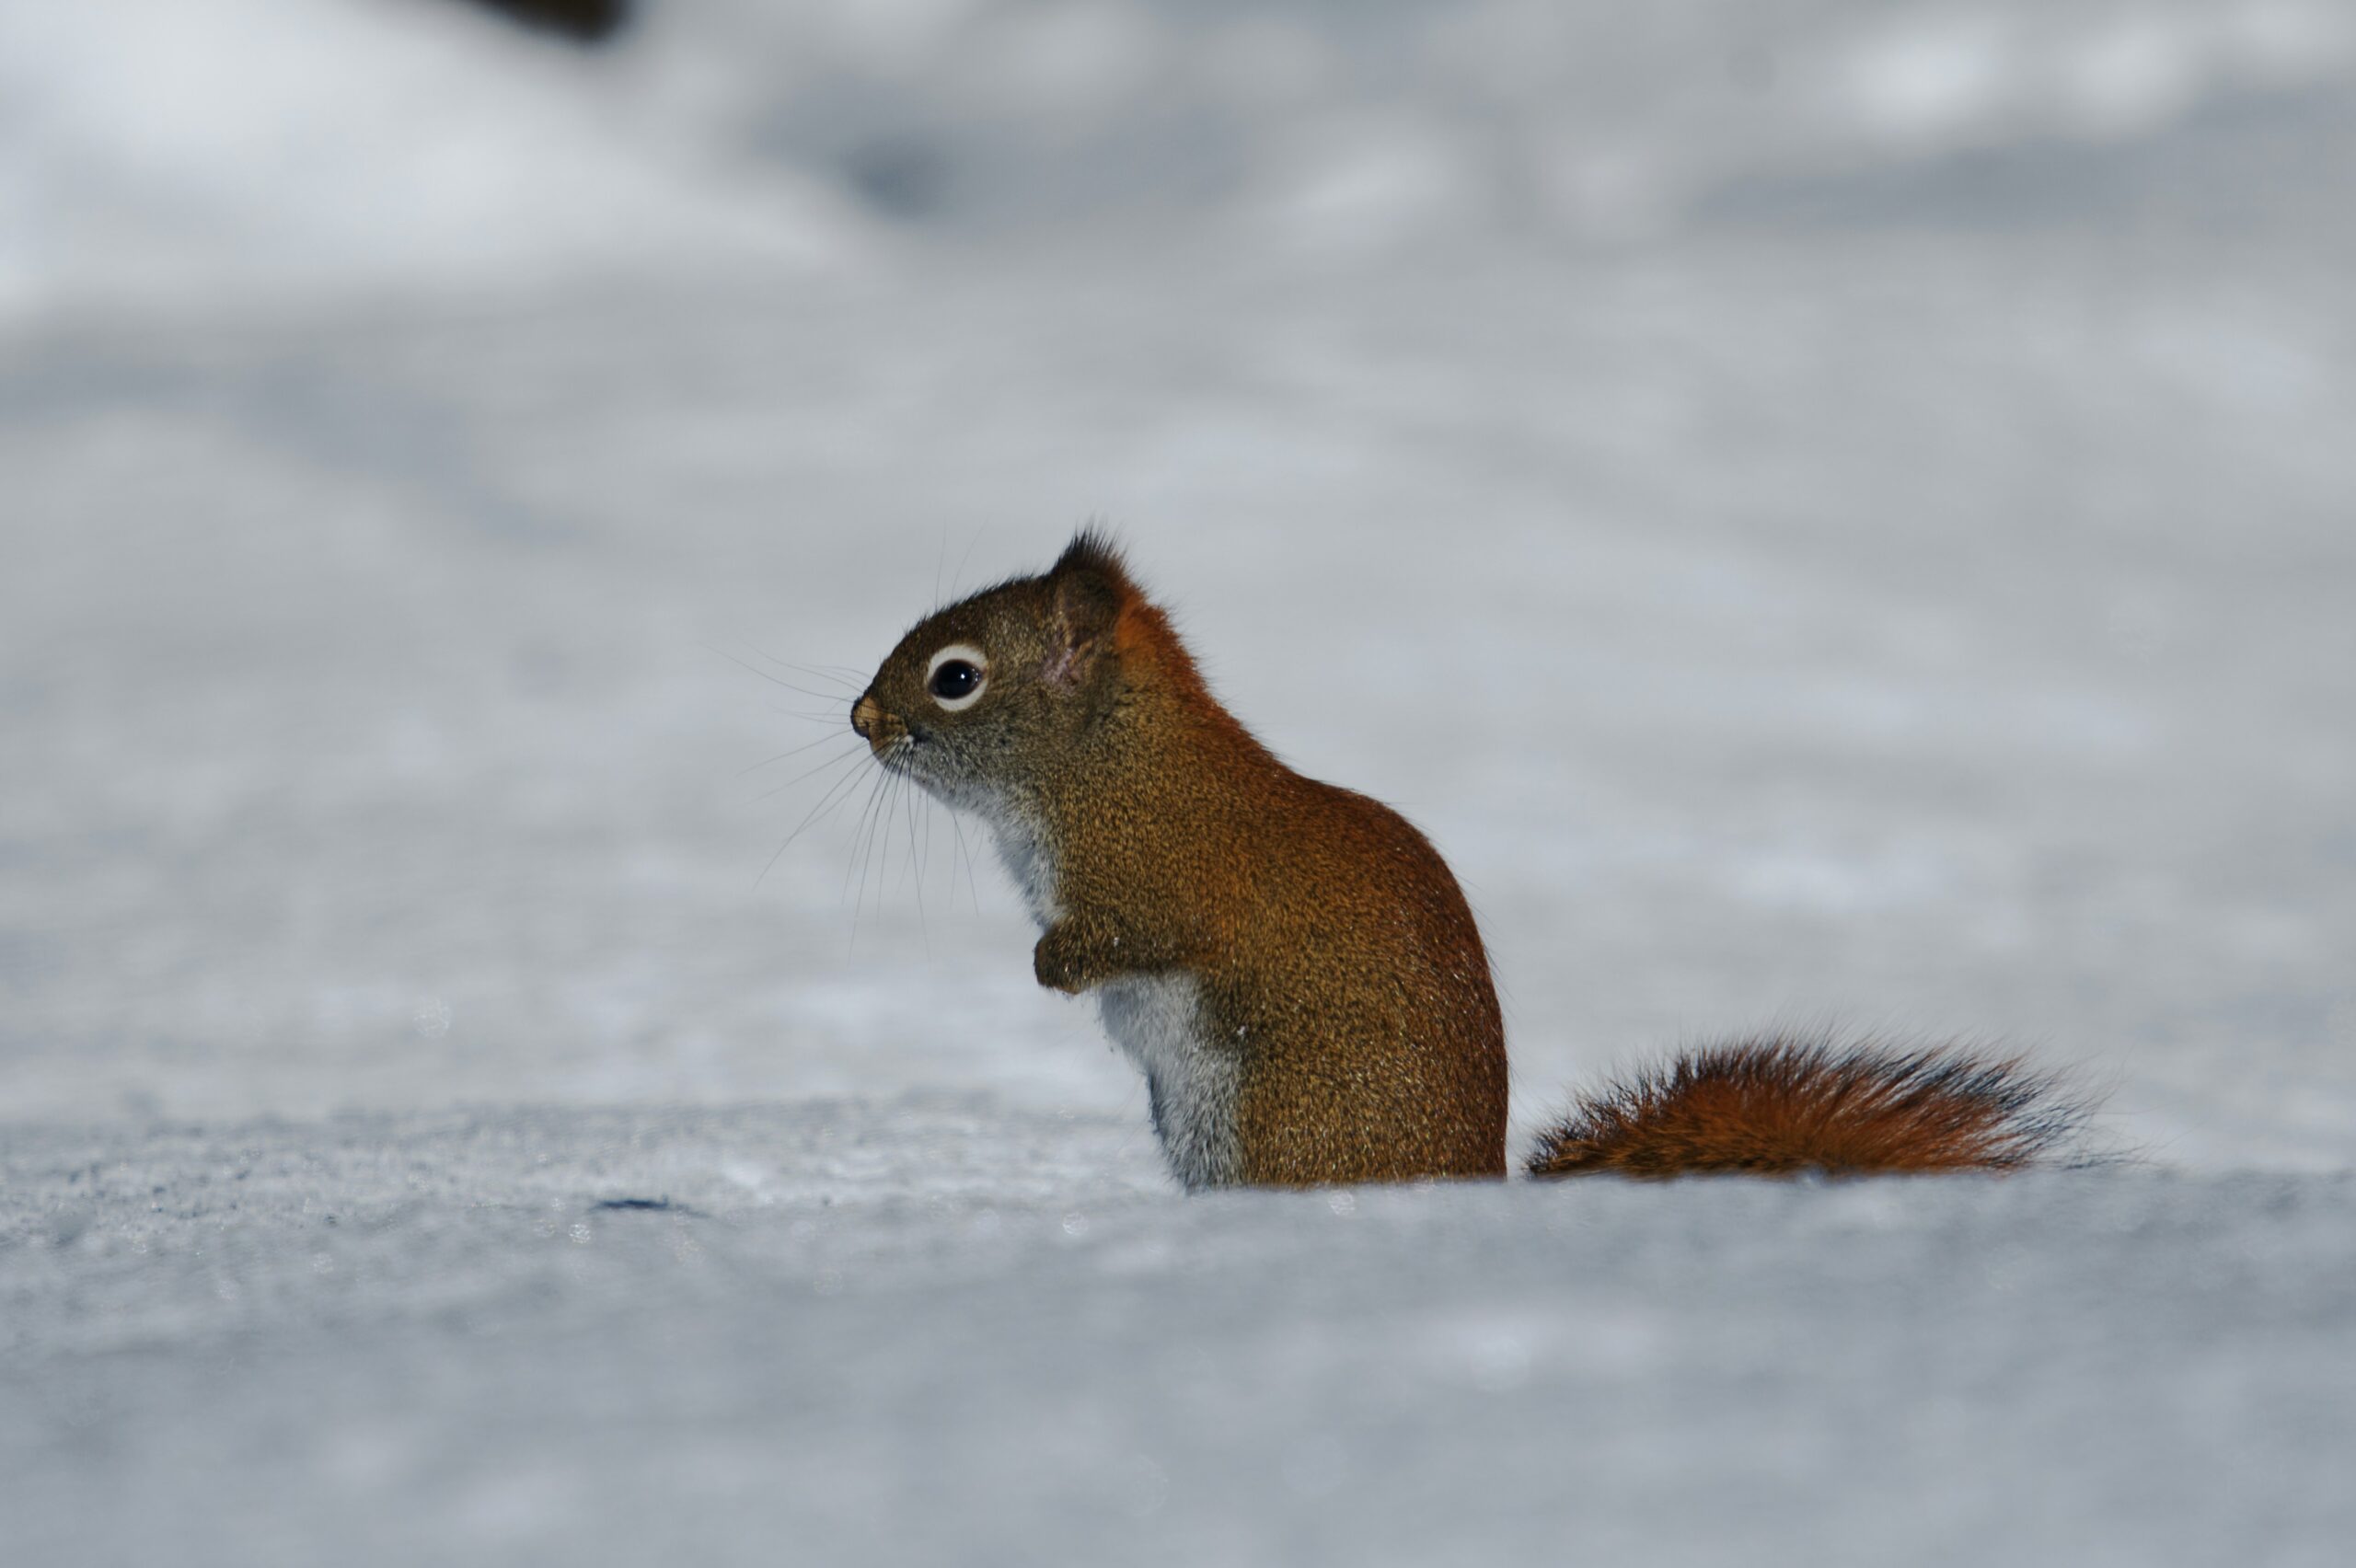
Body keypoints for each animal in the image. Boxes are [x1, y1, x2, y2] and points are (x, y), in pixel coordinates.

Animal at [843, 527, 2083, 1186]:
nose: (861, 718)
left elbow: (1132, 935)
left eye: (956, 677)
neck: (1101, 768)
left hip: (1279, 1123)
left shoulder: (1165, 874)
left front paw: (1051, 968)